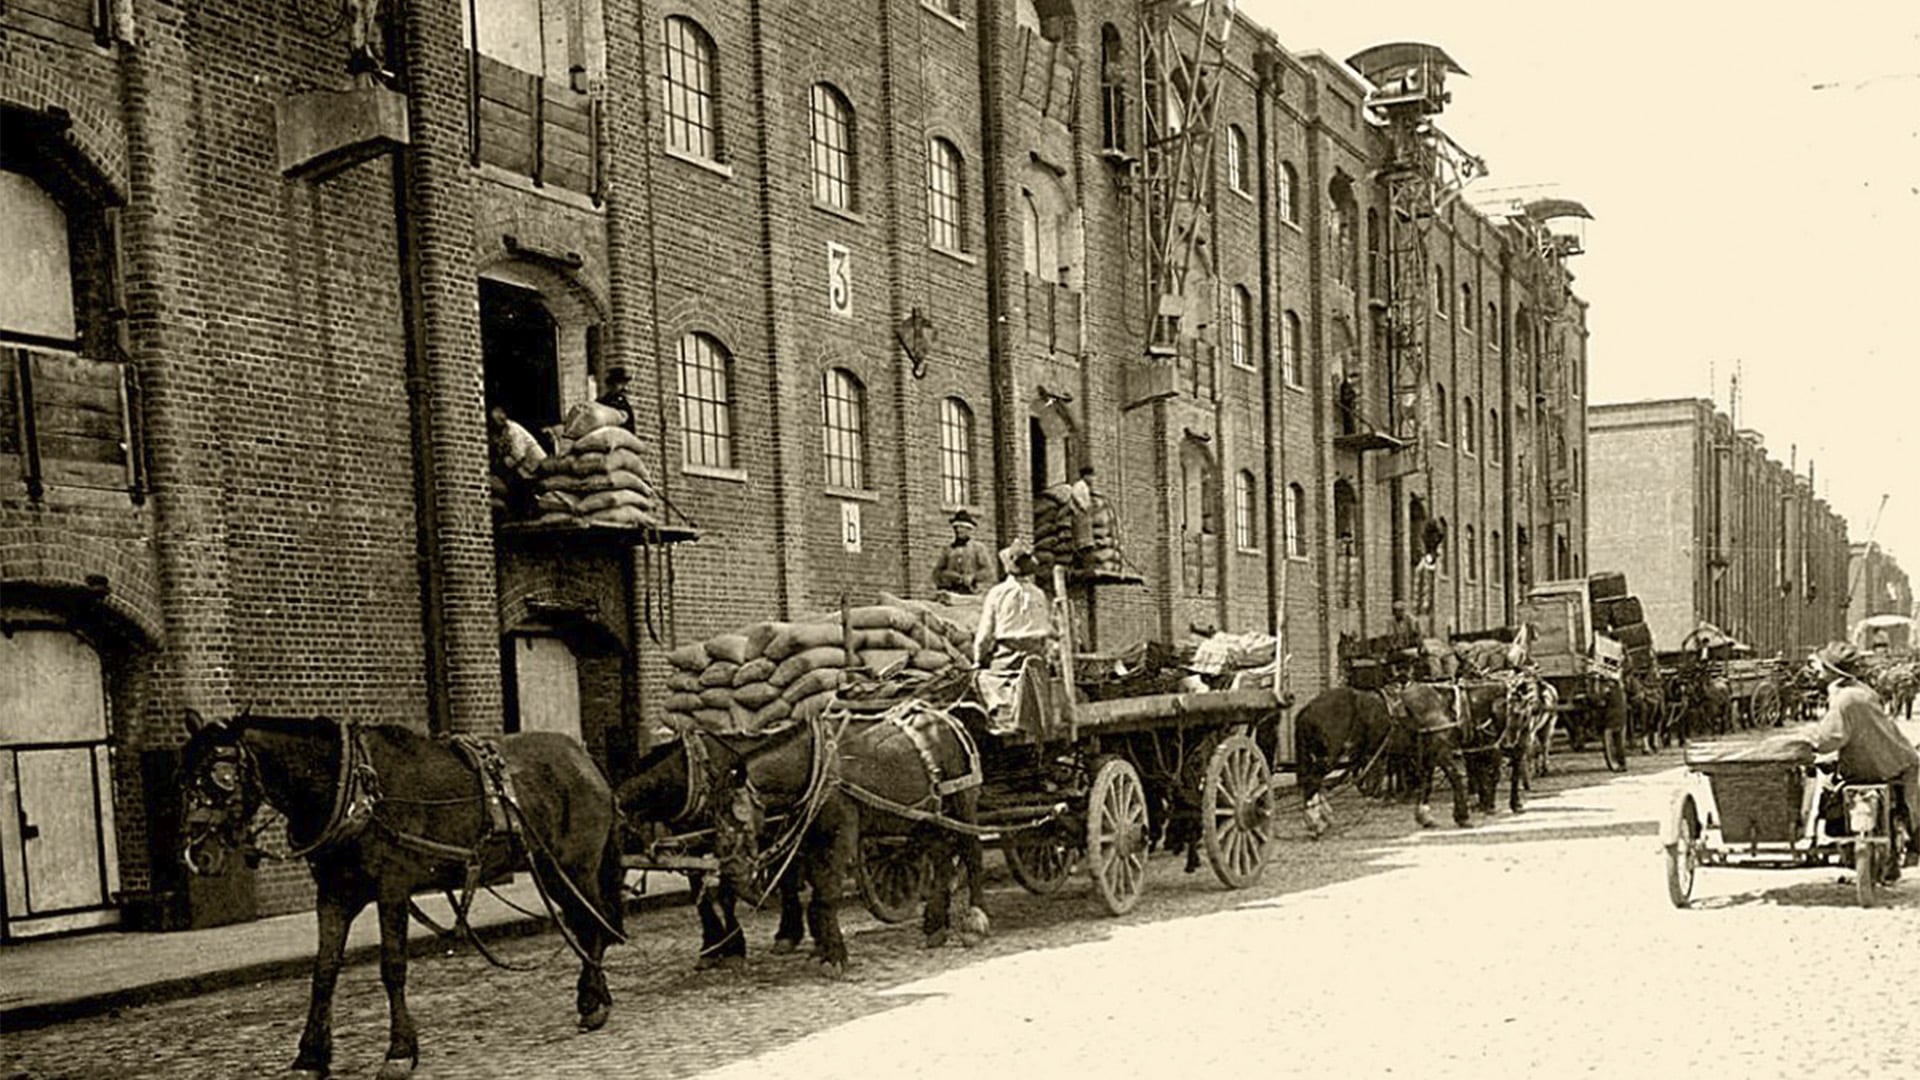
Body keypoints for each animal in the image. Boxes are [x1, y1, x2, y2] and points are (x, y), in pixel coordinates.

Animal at [178, 707, 622, 1076]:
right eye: (181, 780)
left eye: (222, 778)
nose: (198, 853)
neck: (350, 790)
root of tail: (584, 759)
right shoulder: (334, 895)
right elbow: (324, 971)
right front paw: (310, 1055)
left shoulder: (392, 888)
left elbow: (392, 967)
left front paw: (400, 1051)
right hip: (548, 869)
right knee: (585, 924)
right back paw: (594, 996)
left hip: (574, 866)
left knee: (593, 923)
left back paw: (593, 1000)